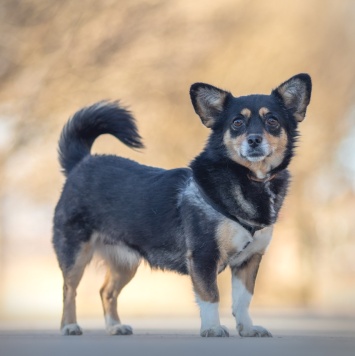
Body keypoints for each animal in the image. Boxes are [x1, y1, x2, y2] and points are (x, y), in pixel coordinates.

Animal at [52, 73, 312, 336]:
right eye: (237, 122)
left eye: (272, 121)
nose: (254, 140)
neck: (248, 179)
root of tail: (82, 162)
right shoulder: (203, 257)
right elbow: (211, 296)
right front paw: (212, 328)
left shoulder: (249, 260)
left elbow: (243, 300)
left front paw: (247, 328)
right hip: (75, 252)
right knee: (68, 290)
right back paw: (69, 325)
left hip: (125, 261)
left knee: (107, 291)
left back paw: (115, 326)